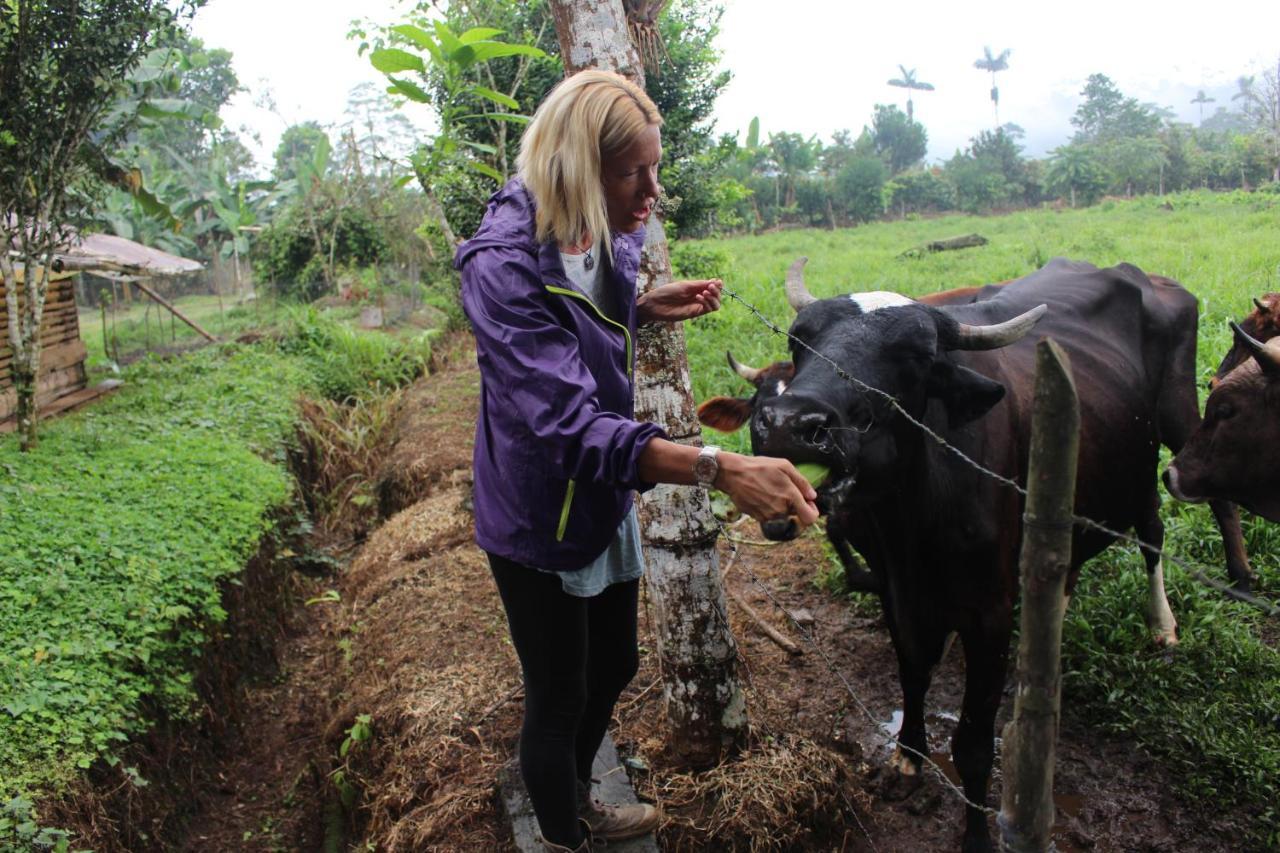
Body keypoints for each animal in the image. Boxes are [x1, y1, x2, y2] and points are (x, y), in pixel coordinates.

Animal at [701, 256, 1249, 845]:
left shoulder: (989, 612)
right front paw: (907, 759)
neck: (911, 521)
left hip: (1176, 427)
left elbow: (973, 743)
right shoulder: (898, 591)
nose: (789, 424)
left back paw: (1175, 617)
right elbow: (913, 674)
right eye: (800, 341)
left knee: (1161, 527)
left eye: (914, 358)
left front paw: (977, 834)